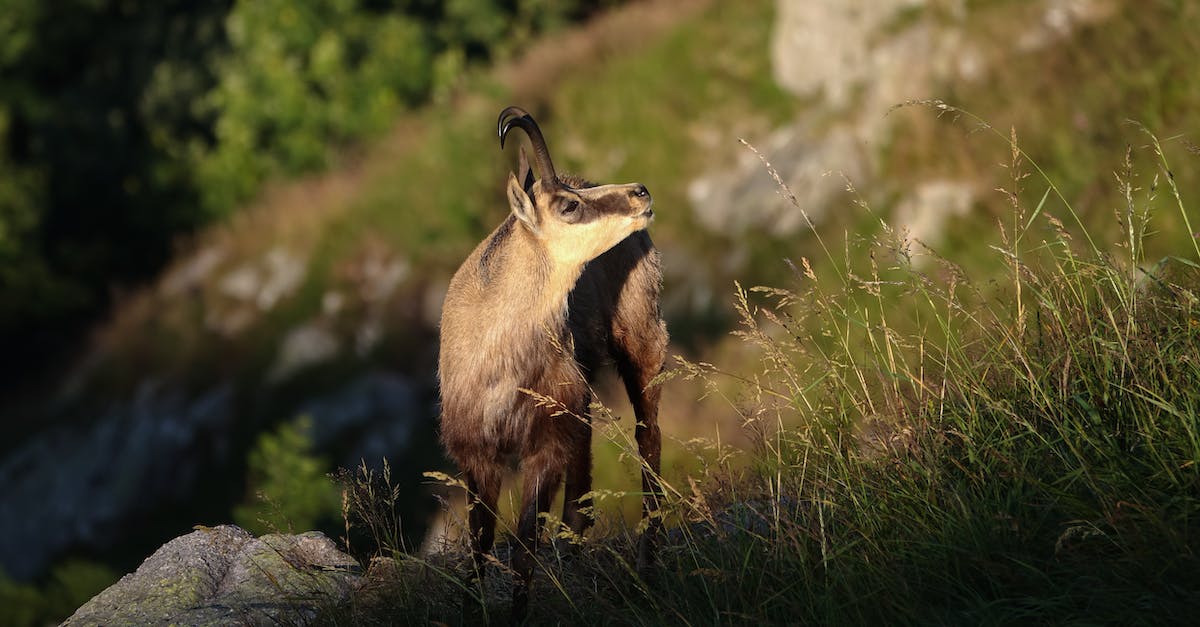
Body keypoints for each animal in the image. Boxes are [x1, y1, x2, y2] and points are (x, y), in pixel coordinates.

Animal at [437, 106, 667, 619]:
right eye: (568, 206)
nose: (641, 192)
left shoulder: (544, 444)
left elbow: (524, 547)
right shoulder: (477, 455)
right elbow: (479, 549)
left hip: (641, 341)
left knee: (649, 438)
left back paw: (649, 566)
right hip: (579, 401)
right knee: (582, 489)